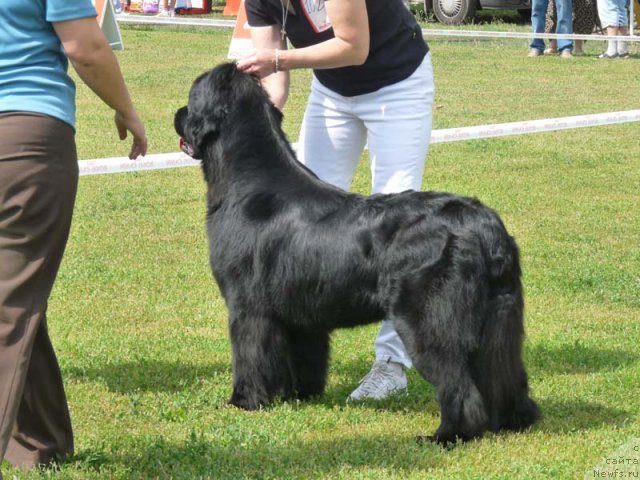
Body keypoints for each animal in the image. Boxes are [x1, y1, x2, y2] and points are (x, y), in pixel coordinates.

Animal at [175, 62, 540, 444]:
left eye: (191, 99)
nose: (178, 114)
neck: (247, 180)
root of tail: (483, 223)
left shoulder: (247, 307)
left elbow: (250, 356)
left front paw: (245, 401)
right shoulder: (301, 310)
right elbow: (304, 357)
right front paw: (298, 396)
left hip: (428, 320)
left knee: (459, 382)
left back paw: (447, 435)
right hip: (499, 319)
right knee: (506, 372)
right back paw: (516, 420)